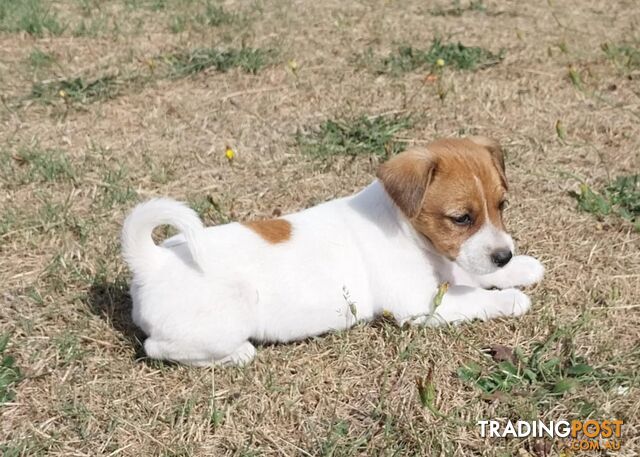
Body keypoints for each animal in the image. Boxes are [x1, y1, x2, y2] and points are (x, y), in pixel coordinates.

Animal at [121, 137, 544, 366]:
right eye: (461, 218)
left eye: (501, 206)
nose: (505, 255)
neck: (403, 225)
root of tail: (152, 262)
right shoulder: (419, 304)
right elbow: (473, 295)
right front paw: (511, 298)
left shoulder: (448, 263)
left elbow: (470, 272)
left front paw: (521, 268)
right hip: (225, 318)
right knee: (156, 347)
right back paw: (239, 354)